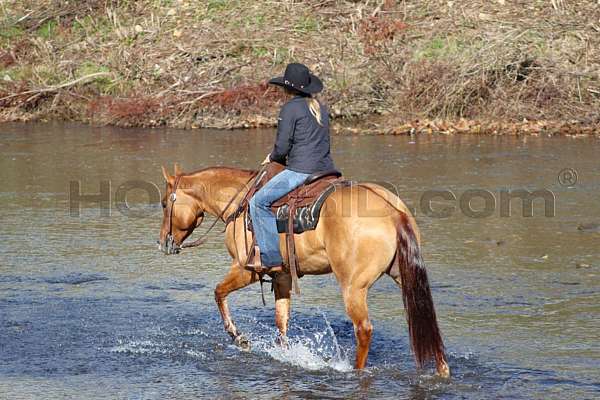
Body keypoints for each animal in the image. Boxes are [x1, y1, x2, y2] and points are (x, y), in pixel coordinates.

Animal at [159, 163, 450, 378]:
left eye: (164, 203)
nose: (163, 242)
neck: (239, 203)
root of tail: (393, 212)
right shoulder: (282, 276)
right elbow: (281, 320)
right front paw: (284, 352)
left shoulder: (245, 270)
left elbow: (218, 293)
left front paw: (238, 337)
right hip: (405, 276)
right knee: (427, 317)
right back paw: (442, 370)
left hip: (353, 287)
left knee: (363, 330)